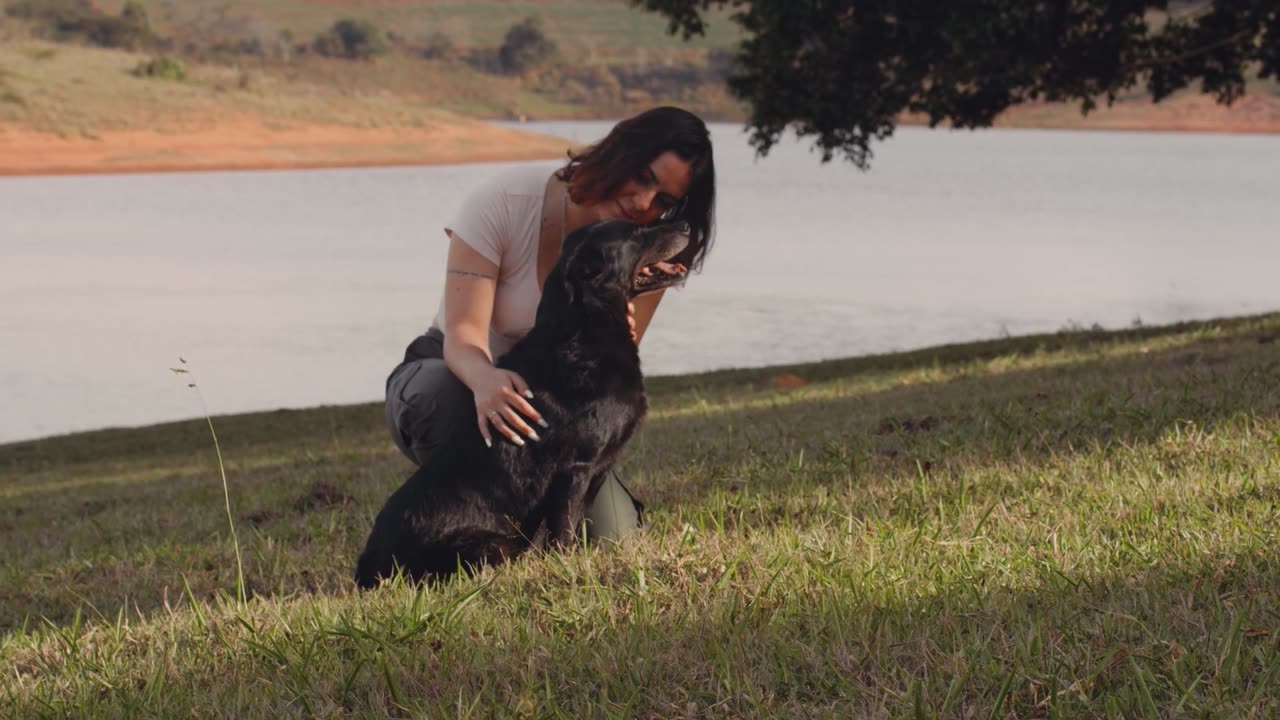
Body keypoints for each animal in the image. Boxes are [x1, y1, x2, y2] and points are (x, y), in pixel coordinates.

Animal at [355, 217, 686, 584]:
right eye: (633, 232)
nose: (686, 224)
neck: (585, 331)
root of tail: (368, 565)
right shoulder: (576, 468)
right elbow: (564, 530)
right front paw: (568, 566)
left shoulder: (597, 468)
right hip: (494, 545)